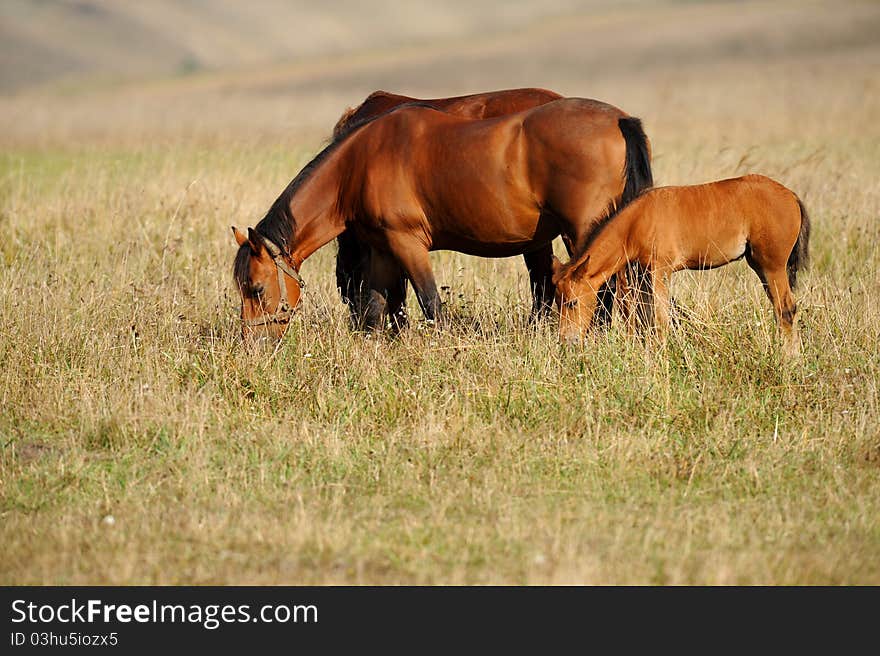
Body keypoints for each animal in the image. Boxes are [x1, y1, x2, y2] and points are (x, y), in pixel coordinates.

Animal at [552, 174, 812, 356]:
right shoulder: (643, 275)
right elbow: (644, 316)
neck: (637, 220)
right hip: (760, 267)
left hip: (772, 267)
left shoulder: (660, 272)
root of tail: (791, 196)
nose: (565, 341)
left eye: (572, 302)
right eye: (558, 301)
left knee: (786, 310)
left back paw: (790, 360)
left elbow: (660, 318)